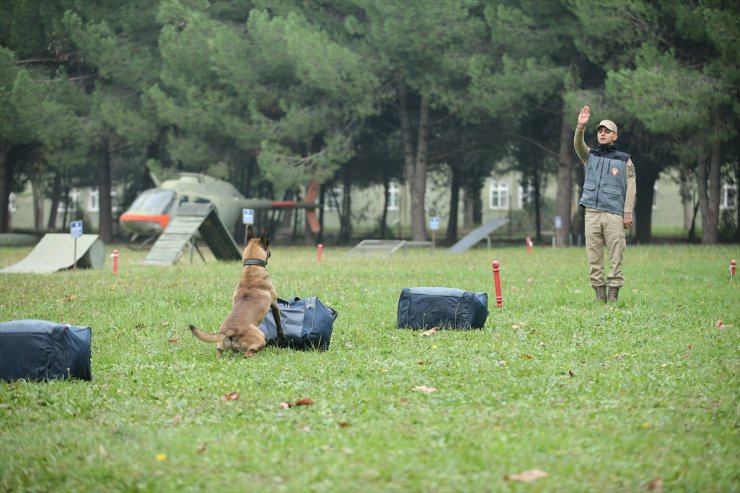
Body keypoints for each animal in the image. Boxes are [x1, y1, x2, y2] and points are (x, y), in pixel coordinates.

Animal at [189, 225, 284, 356]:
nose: (270, 253)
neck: (251, 268)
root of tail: (230, 331)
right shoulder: (274, 305)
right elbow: (279, 325)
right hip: (260, 337)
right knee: (249, 353)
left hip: (220, 346)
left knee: (219, 351)